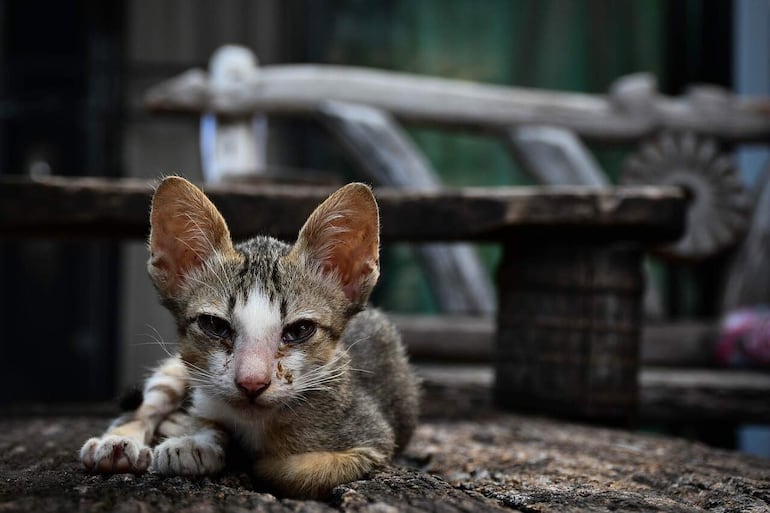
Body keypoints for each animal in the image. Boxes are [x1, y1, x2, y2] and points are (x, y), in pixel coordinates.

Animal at [80, 176, 416, 496]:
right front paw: (195, 440)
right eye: (214, 326)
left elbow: (292, 470)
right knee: (146, 406)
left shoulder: (373, 438)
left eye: (299, 330)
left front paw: (208, 443)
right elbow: (207, 418)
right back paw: (118, 443)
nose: (252, 383)